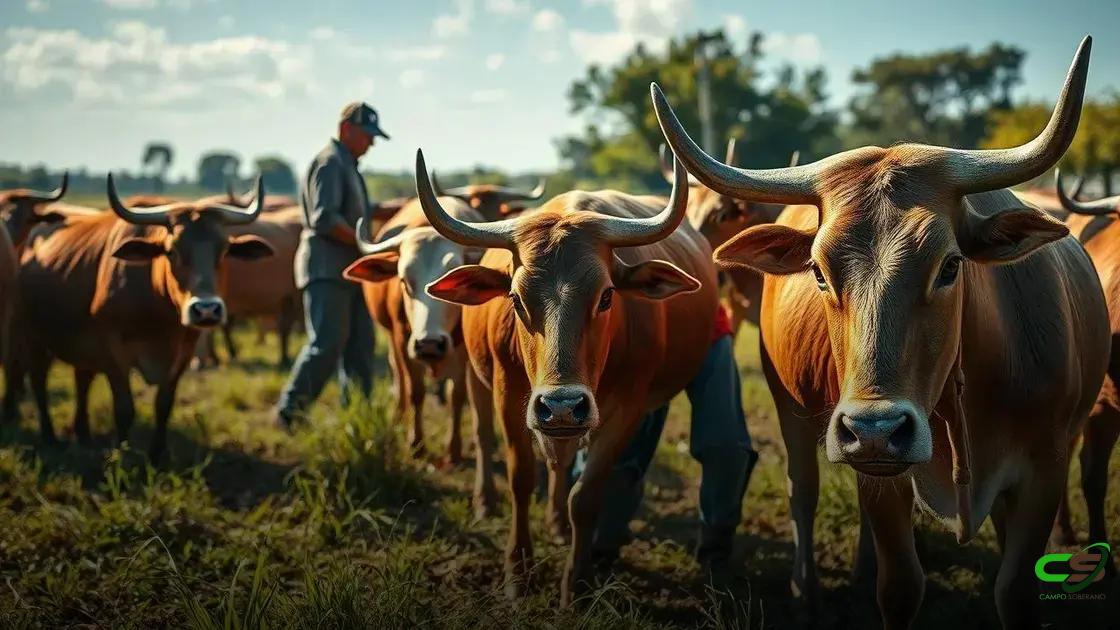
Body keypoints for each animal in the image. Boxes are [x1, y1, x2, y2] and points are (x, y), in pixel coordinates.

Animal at [10, 176, 274, 459]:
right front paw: (123, 453)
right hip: (32, 337)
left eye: (224, 251)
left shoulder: (182, 356)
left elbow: (164, 405)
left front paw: (158, 454)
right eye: (172, 251)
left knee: (82, 379)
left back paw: (83, 434)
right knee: (39, 380)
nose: (206, 309)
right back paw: (49, 436)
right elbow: (124, 409)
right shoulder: (113, 353)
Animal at [342, 196, 484, 473]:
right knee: (400, 380)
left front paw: (454, 450)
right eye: (404, 281)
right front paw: (416, 444)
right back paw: (398, 417)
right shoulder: (402, 341)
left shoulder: (461, 352)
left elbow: (457, 396)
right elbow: (416, 391)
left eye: (453, 284)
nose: (429, 344)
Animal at [414, 148, 718, 605]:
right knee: (484, 437)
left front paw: (575, 583)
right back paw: (486, 500)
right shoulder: (510, 397)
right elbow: (521, 478)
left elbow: (585, 496)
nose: (561, 404)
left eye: (607, 296)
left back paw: (558, 523)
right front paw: (517, 572)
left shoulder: (626, 411)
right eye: (515, 299)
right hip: (481, 380)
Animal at [655, 36, 1107, 629]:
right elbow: (899, 586)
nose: (874, 429)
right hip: (796, 411)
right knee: (804, 490)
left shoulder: (1044, 473)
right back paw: (808, 588)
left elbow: (1015, 590)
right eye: (818, 270)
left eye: (950, 265)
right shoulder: (881, 482)